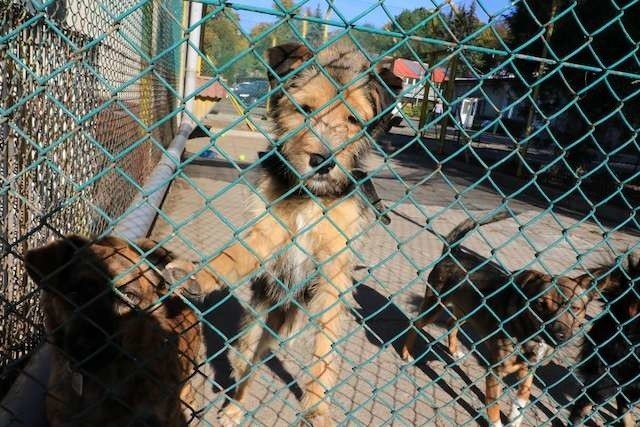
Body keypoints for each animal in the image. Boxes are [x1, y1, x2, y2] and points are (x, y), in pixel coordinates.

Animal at [161, 39, 400, 424]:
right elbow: (235, 254)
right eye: (304, 109)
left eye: (352, 119)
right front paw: (196, 274)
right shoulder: (268, 233)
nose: (323, 162)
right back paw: (233, 408)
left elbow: (325, 354)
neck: (310, 196)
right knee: (246, 366)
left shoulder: (334, 272)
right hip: (254, 329)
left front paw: (317, 407)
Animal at [400, 213, 596, 427]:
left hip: (466, 311)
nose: (559, 335)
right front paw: (497, 423)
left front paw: (515, 420)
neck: (528, 332)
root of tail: (453, 254)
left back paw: (454, 351)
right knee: (415, 323)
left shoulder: (528, 371)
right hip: (435, 305)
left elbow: (521, 401)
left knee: (452, 324)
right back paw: (406, 354)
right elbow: (493, 404)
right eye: (540, 305)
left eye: (575, 308)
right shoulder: (495, 372)